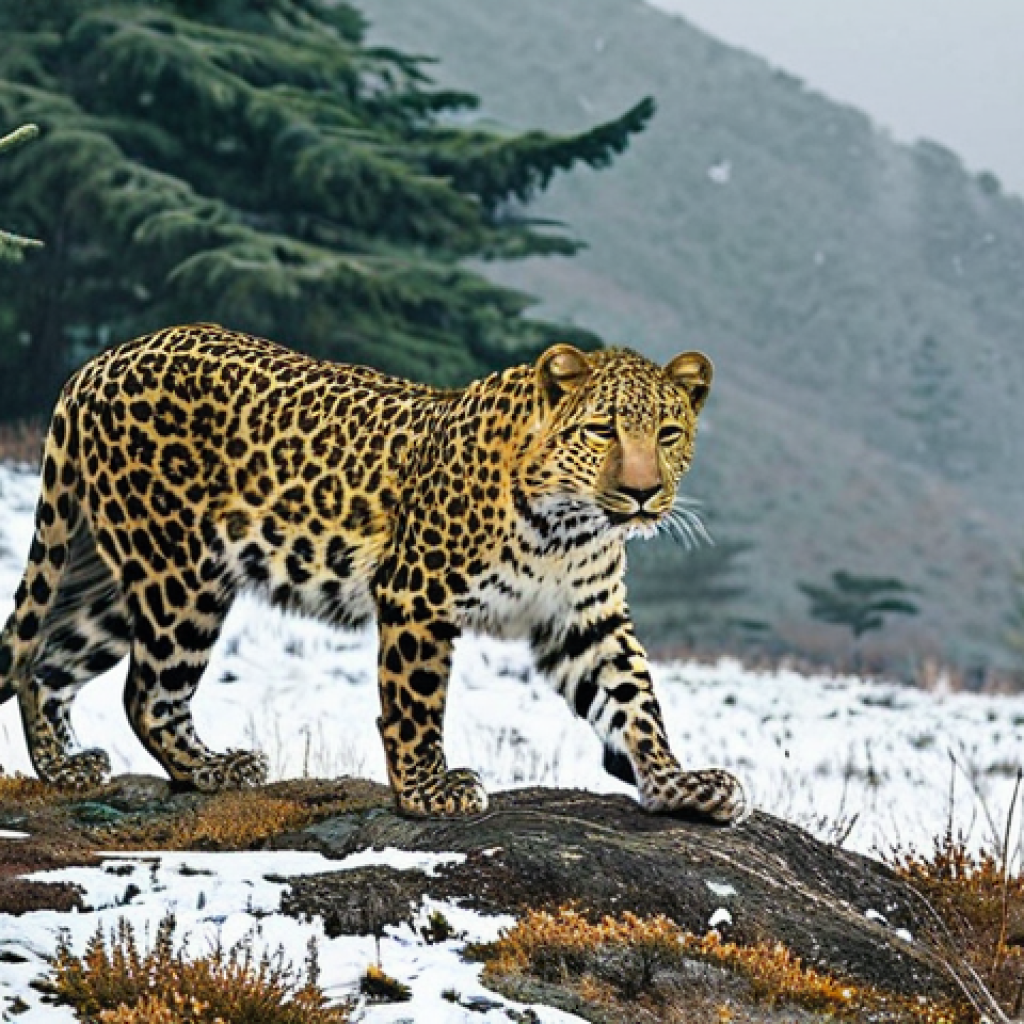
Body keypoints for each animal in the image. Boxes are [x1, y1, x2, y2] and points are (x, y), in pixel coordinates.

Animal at [0, 324, 747, 823]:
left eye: (668, 434)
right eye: (601, 431)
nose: (644, 495)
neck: (569, 528)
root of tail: (100, 362)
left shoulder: (584, 619)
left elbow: (634, 700)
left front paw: (678, 784)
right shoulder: (419, 594)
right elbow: (414, 704)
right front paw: (427, 792)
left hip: (118, 572)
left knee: (46, 661)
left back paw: (65, 768)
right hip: (181, 571)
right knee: (145, 691)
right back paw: (215, 769)